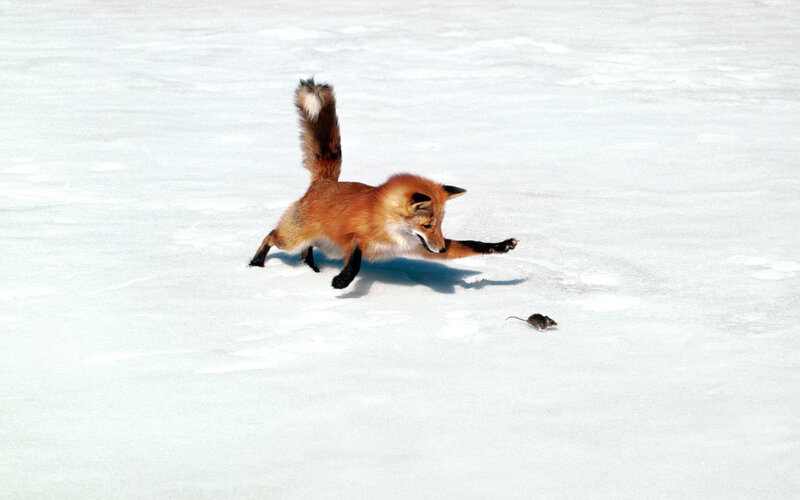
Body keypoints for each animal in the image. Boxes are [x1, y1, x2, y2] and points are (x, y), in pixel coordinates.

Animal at [249, 78, 517, 289]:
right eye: (427, 225)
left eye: (440, 225)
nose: (441, 249)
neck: (389, 226)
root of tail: (325, 181)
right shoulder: (356, 237)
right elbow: (356, 260)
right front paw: (342, 281)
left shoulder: (419, 246)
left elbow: (472, 244)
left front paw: (501, 246)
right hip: (293, 239)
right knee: (271, 236)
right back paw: (256, 263)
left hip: (322, 244)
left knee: (306, 250)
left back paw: (311, 268)